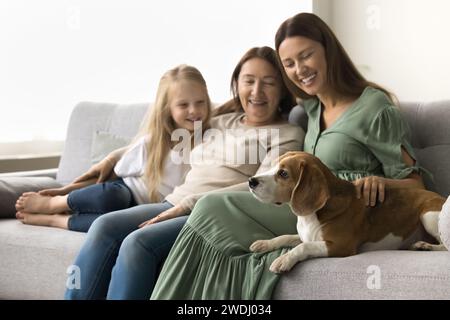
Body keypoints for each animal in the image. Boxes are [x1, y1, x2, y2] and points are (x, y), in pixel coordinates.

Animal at [250, 151, 446, 274]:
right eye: (272, 167)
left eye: (283, 174)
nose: (251, 181)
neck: (311, 215)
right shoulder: (308, 236)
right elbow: (286, 237)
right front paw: (265, 243)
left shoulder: (340, 246)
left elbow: (303, 246)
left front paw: (284, 259)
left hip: (428, 215)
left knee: (446, 247)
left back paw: (426, 247)